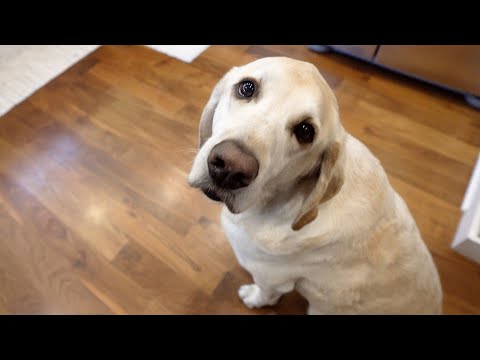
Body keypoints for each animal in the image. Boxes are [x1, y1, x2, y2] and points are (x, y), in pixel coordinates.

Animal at [188, 57, 442, 316]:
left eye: (305, 131)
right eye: (247, 87)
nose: (230, 168)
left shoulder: (270, 278)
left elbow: (266, 294)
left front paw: (253, 298)